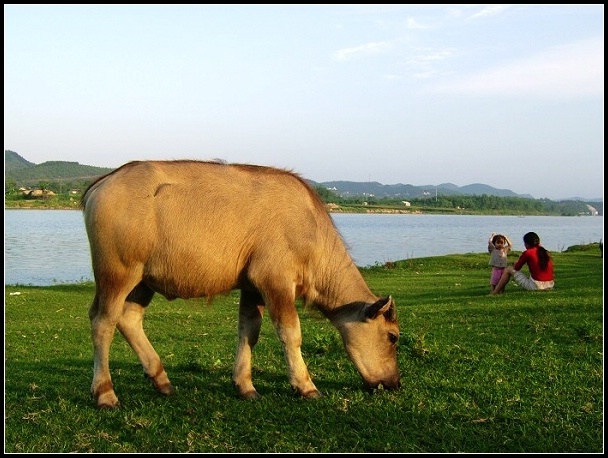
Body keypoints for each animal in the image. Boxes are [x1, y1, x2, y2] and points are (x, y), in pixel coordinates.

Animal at [82, 160, 404, 408]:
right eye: (393, 337)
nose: (395, 382)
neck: (311, 230)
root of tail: (103, 182)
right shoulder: (275, 281)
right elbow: (291, 334)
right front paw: (306, 385)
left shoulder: (252, 287)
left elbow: (249, 332)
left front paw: (245, 386)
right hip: (116, 273)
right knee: (103, 322)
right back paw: (105, 394)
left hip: (142, 281)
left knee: (129, 318)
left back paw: (162, 380)